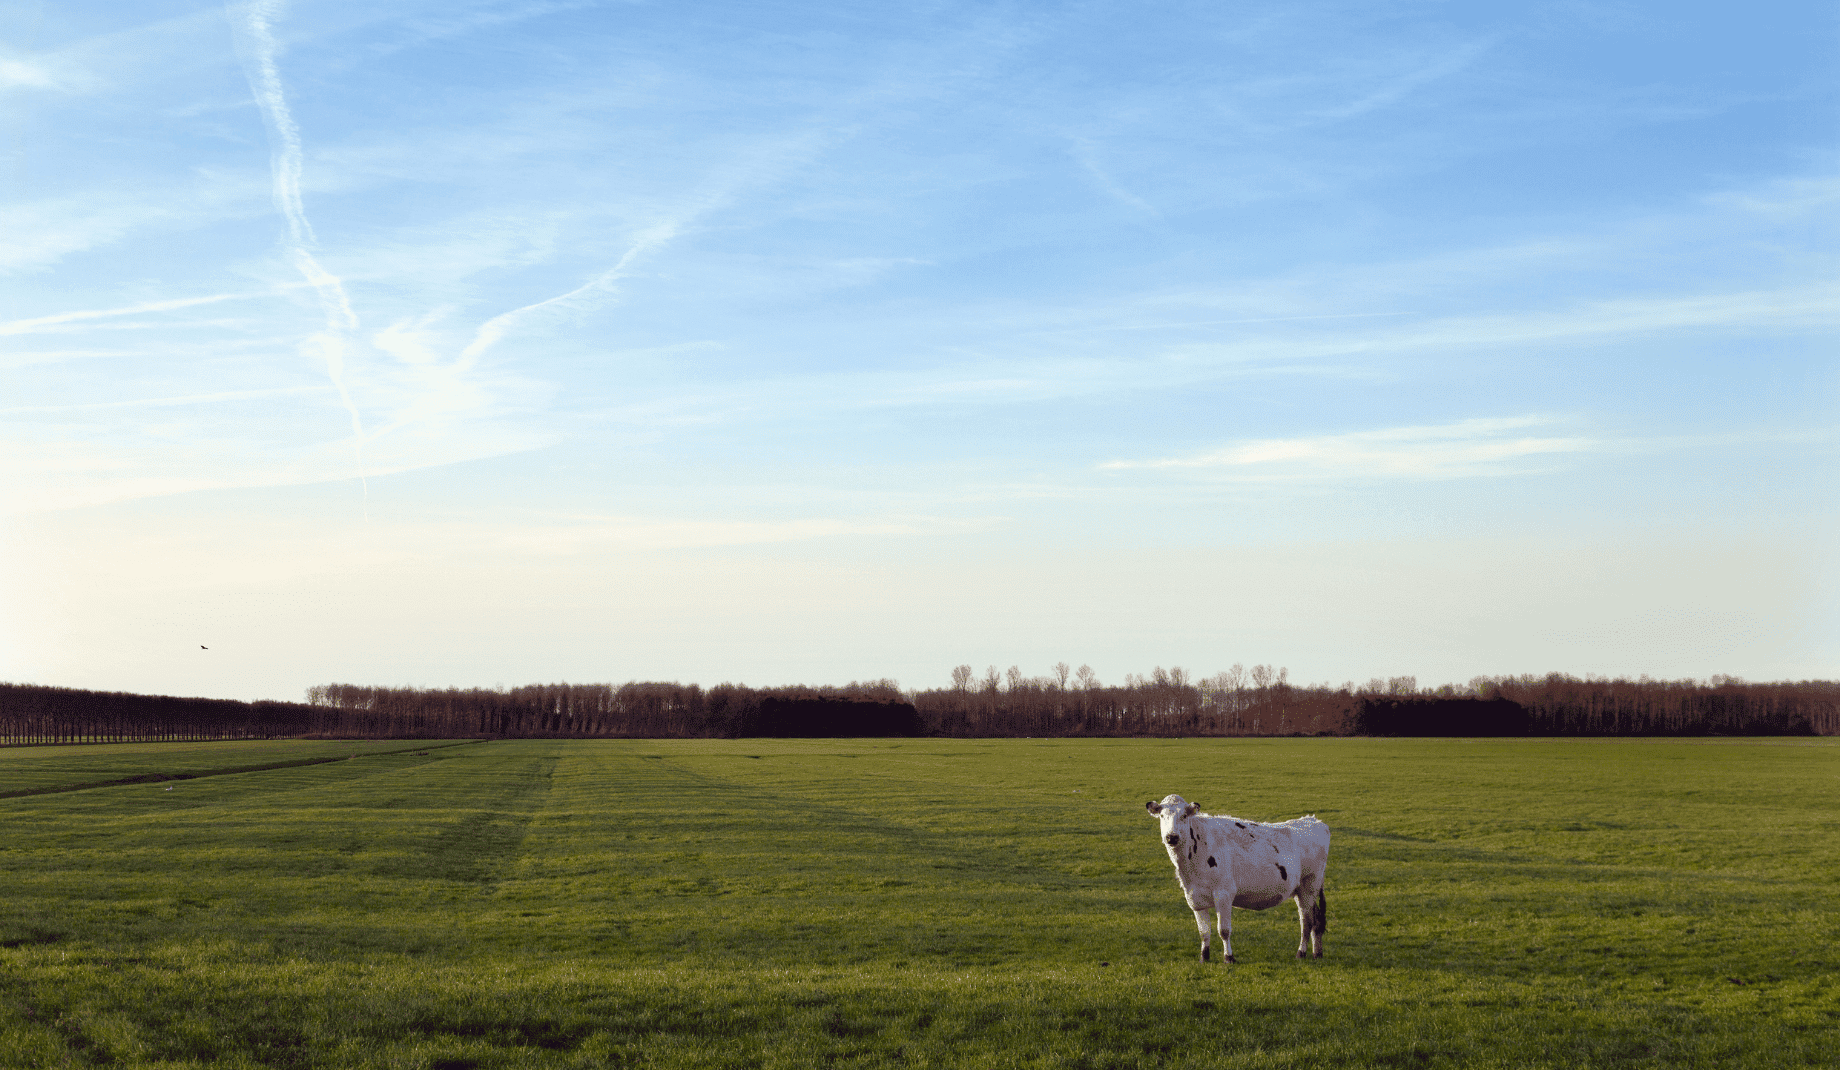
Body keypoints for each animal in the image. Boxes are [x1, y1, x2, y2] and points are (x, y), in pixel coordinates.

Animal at [1140, 797, 1332, 963]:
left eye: (1184, 816)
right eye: (1162, 816)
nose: (1171, 837)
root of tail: (1313, 821)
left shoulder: (1224, 893)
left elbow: (1223, 930)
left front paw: (1229, 957)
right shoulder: (1194, 897)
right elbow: (1204, 932)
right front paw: (1204, 957)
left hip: (1309, 885)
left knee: (1306, 921)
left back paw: (1301, 953)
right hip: (1302, 890)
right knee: (1316, 919)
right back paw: (1317, 953)